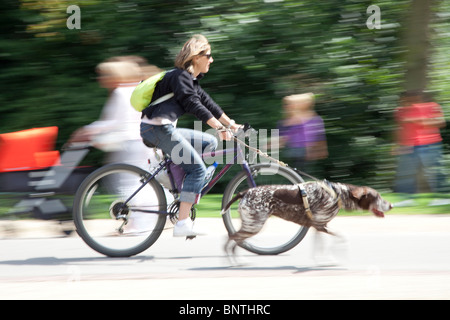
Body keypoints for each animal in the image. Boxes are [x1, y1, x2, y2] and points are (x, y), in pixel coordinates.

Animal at [223, 181, 392, 256]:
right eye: (377, 196)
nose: (391, 205)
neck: (337, 194)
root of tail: (245, 192)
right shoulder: (320, 225)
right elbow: (342, 236)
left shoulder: (317, 228)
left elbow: (319, 249)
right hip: (254, 225)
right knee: (231, 239)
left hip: (250, 224)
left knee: (232, 240)